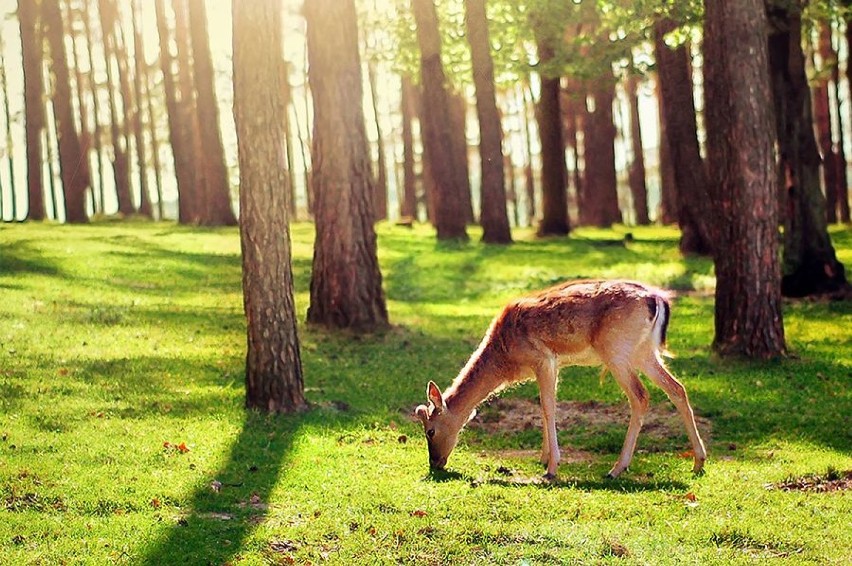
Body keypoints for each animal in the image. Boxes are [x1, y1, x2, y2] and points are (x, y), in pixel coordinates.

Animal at [418, 280, 704, 480]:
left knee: (641, 396)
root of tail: (657, 300)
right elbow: (543, 406)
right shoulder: (552, 366)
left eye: (430, 430)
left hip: (617, 351)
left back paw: (616, 469)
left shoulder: (543, 359)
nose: (435, 463)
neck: (506, 359)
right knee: (677, 388)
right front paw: (543, 458)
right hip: (644, 352)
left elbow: (548, 407)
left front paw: (552, 467)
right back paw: (698, 462)